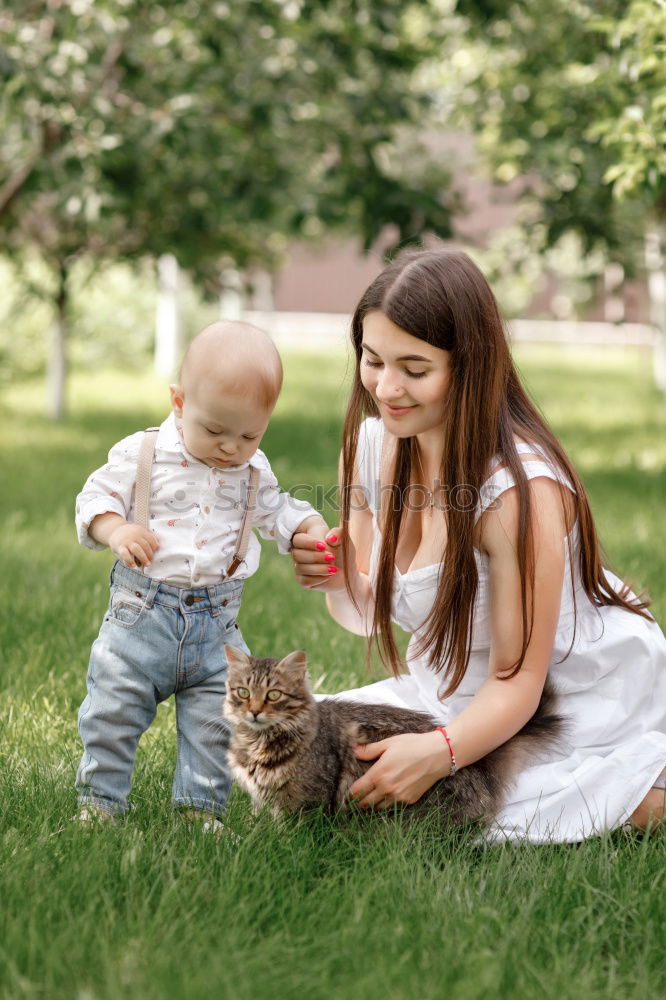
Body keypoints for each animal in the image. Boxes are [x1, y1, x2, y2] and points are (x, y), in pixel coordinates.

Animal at [222, 644, 560, 832]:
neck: (256, 743)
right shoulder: (263, 802)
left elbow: (294, 840)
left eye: (273, 695)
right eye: (243, 692)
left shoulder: (307, 804)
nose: (254, 711)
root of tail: (480, 767)